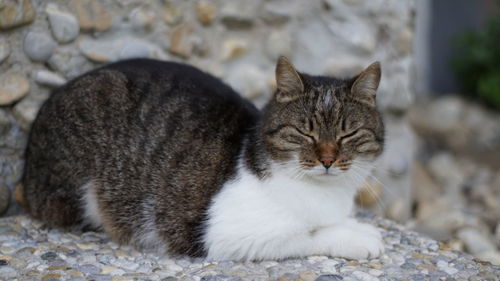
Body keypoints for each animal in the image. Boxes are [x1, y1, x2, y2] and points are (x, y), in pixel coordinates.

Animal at [21, 55, 384, 260]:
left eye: (348, 134)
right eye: (305, 133)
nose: (328, 159)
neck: (325, 195)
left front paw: (353, 224)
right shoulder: (224, 234)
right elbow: (310, 235)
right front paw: (358, 238)